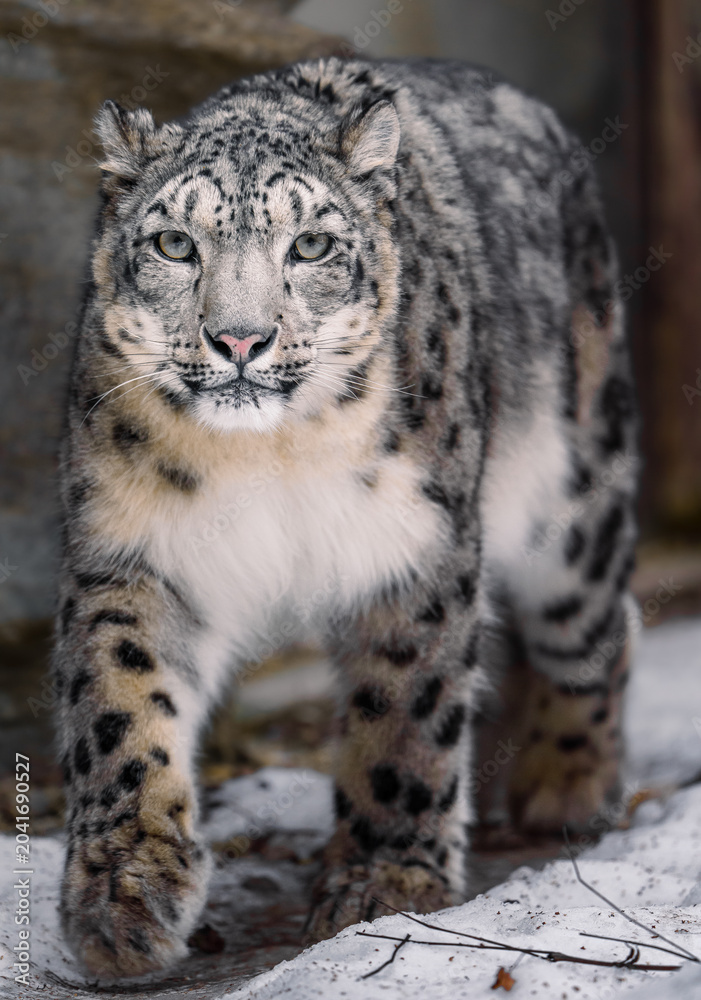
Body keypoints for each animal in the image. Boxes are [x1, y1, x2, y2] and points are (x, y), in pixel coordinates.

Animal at [53, 56, 638, 978]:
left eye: (312, 245)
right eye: (175, 244)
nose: (240, 340)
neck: (268, 457)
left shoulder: (410, 544)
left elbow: (403, 708)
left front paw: (383, 882)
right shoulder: (136, 553)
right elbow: (121, 704)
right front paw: (122, 899)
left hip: (573, 496)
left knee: (596, 622)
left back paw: (565, 782)